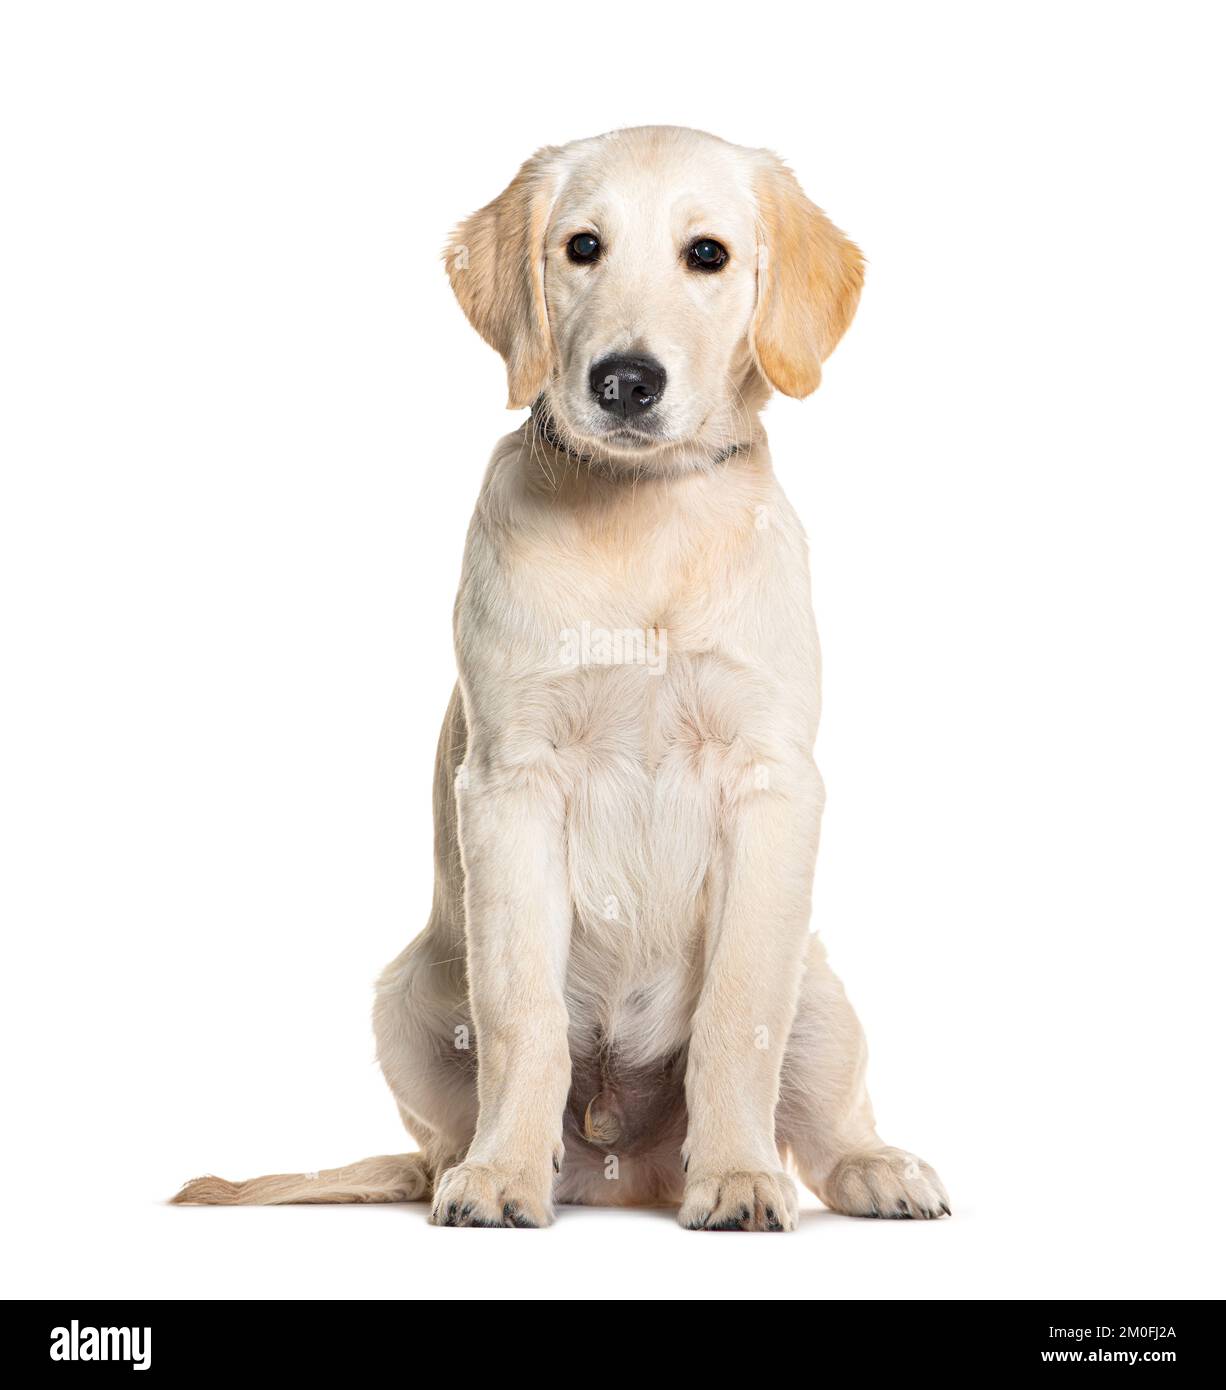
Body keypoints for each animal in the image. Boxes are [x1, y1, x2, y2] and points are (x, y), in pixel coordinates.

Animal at [176, 127, 950, 1228]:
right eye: (582, 246)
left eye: (707, 255)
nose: (625, 380)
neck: (642, 513)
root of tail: (625, 1167)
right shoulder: (511, 784)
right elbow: (520, 1015)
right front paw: (501, 1174)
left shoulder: (772, 784)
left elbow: (738, 1016)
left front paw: (738, 1174)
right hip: (407, 996)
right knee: (450, 1124)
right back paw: (481, 1163)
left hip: (824, 989)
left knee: (825, 1112)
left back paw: (872, 1167)